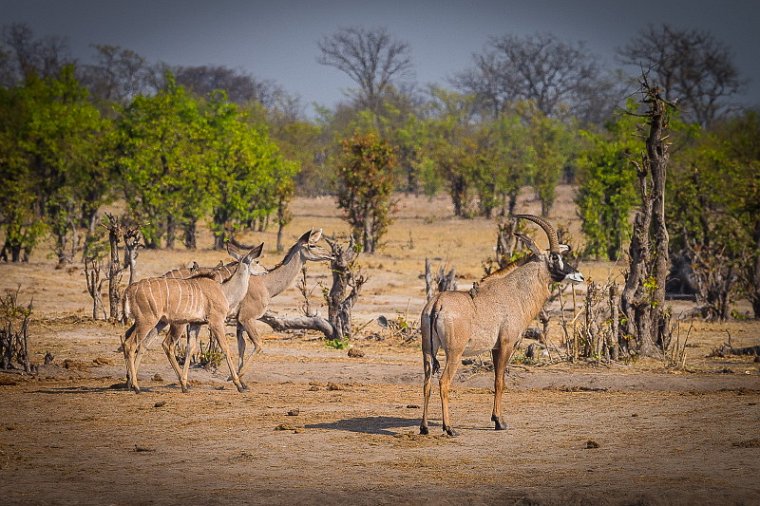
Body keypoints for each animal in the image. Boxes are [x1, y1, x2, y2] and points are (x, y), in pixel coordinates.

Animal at [418, 213, 584, 434]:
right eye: (555, 257)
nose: (579, 276)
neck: (513, 291)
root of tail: (437, 303)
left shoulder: (494, 348)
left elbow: (496, 380)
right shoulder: (506, 344)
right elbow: (500, 381)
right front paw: (499, 421)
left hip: (428, 351)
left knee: (427, 382)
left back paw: (424, 428)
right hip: (454, 353)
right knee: (443, 382)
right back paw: (450, 428)